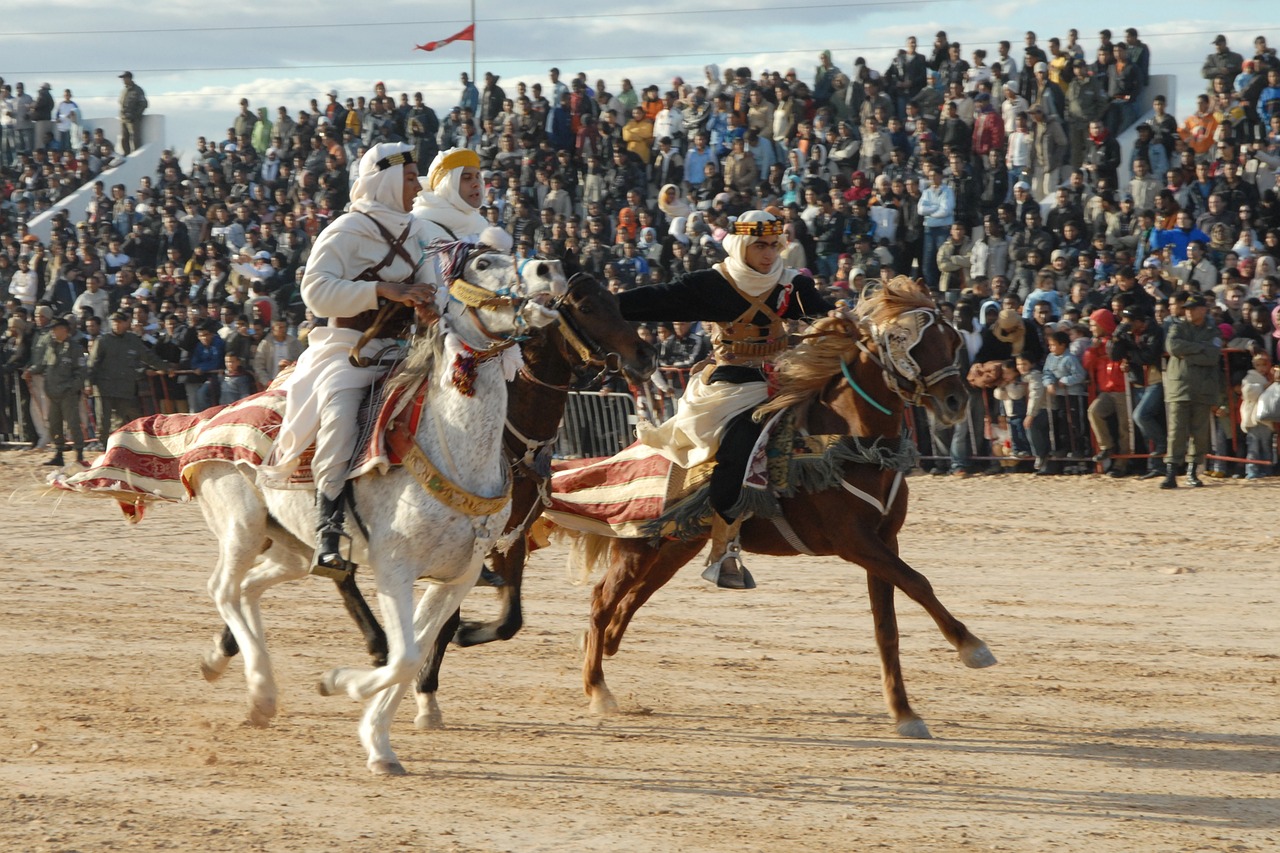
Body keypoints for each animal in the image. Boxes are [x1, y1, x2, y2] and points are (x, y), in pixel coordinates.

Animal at [195, 244, 565, 768]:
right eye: (482, 263)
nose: (549, 269)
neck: (455, 451)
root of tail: (212, 419)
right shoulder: (396, 568)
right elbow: (403, 655)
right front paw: (338, 685)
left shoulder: (457, 576)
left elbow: (416, 653)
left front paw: (376, 739)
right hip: (242, 524)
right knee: (225, 589)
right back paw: (261, 691)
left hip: (292, 547)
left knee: (249, 589)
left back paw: (244, 684)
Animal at [565, 279, 993, 737]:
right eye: (905, 341)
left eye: (952, 340)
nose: (955, 401)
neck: (850, 443)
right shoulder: (853, 541)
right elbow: (918, 583)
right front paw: (972, 647)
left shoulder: (884, 541)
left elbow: (887, 627)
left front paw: (904, 712)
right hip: (637, 544)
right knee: (602, 600)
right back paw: (597, 688)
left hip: (678, 545)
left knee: (631, 599)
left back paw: (602, 647)